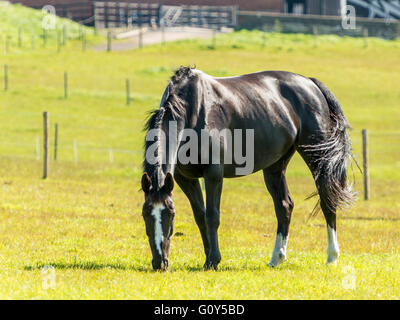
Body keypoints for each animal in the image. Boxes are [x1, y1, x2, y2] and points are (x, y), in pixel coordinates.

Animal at [141, 67, 354, 270]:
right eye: (145, 214)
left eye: (171, 213)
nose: (160, 262)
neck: (194, 110)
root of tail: (311, 83)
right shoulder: (184, 178)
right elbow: (200, 216)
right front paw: (208, 258)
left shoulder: (213, 174)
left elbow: (212, 216)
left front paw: (214, 260)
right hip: (275, 166)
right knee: (284, 205)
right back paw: (276, 258)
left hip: (318, 157)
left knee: (327, 200)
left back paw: (331, 258)